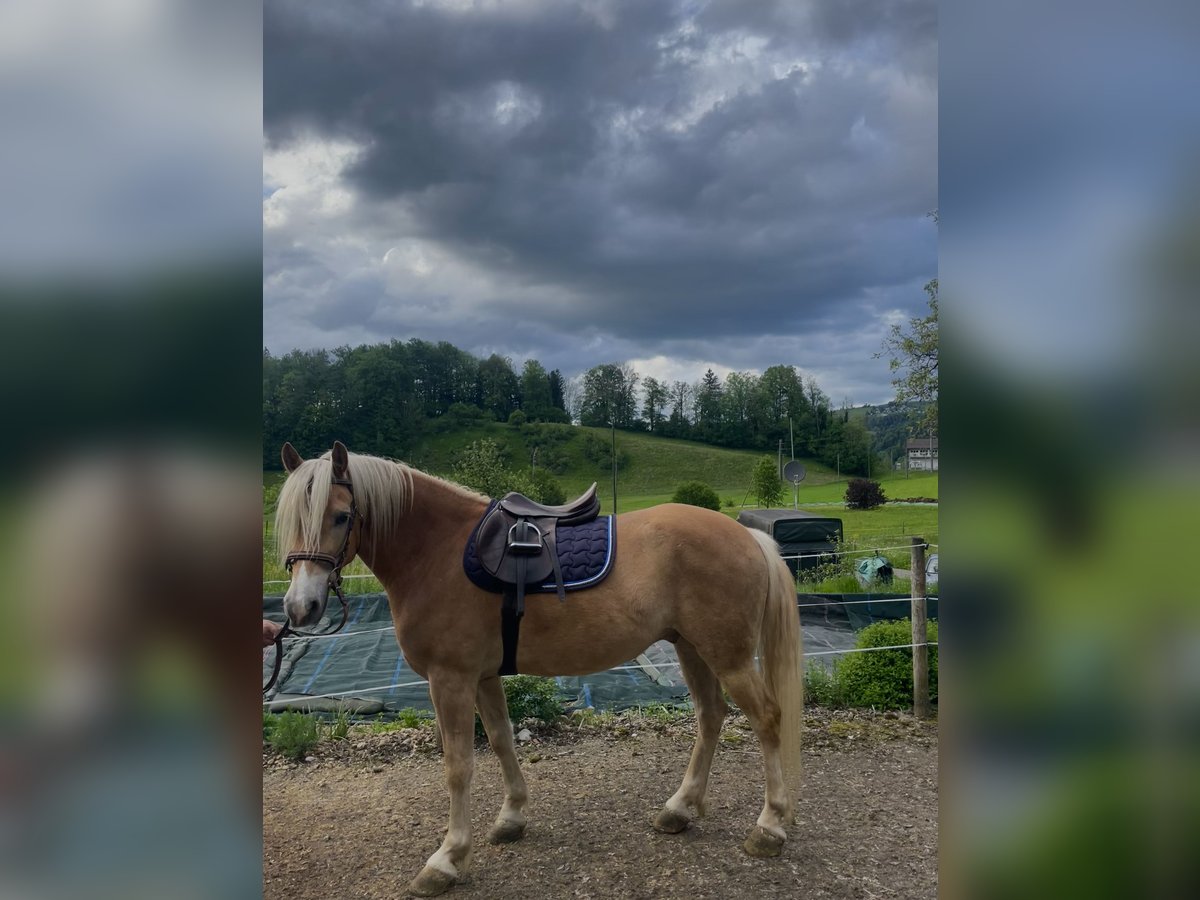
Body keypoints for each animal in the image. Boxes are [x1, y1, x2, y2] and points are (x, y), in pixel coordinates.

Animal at [274, 441, 801, 897]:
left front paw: (447, 858)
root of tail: (749, 536)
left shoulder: (451, 679)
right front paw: (511, 818)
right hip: (693, 649)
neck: (438, 553)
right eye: (290, 521)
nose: (301, 608)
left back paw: (770, 826)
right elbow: (502, 740)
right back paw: (680, 809)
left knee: (767, 720)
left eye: (341, 516)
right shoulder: (483, 677)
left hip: (729, 657)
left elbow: (458, 767)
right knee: (711, 716)